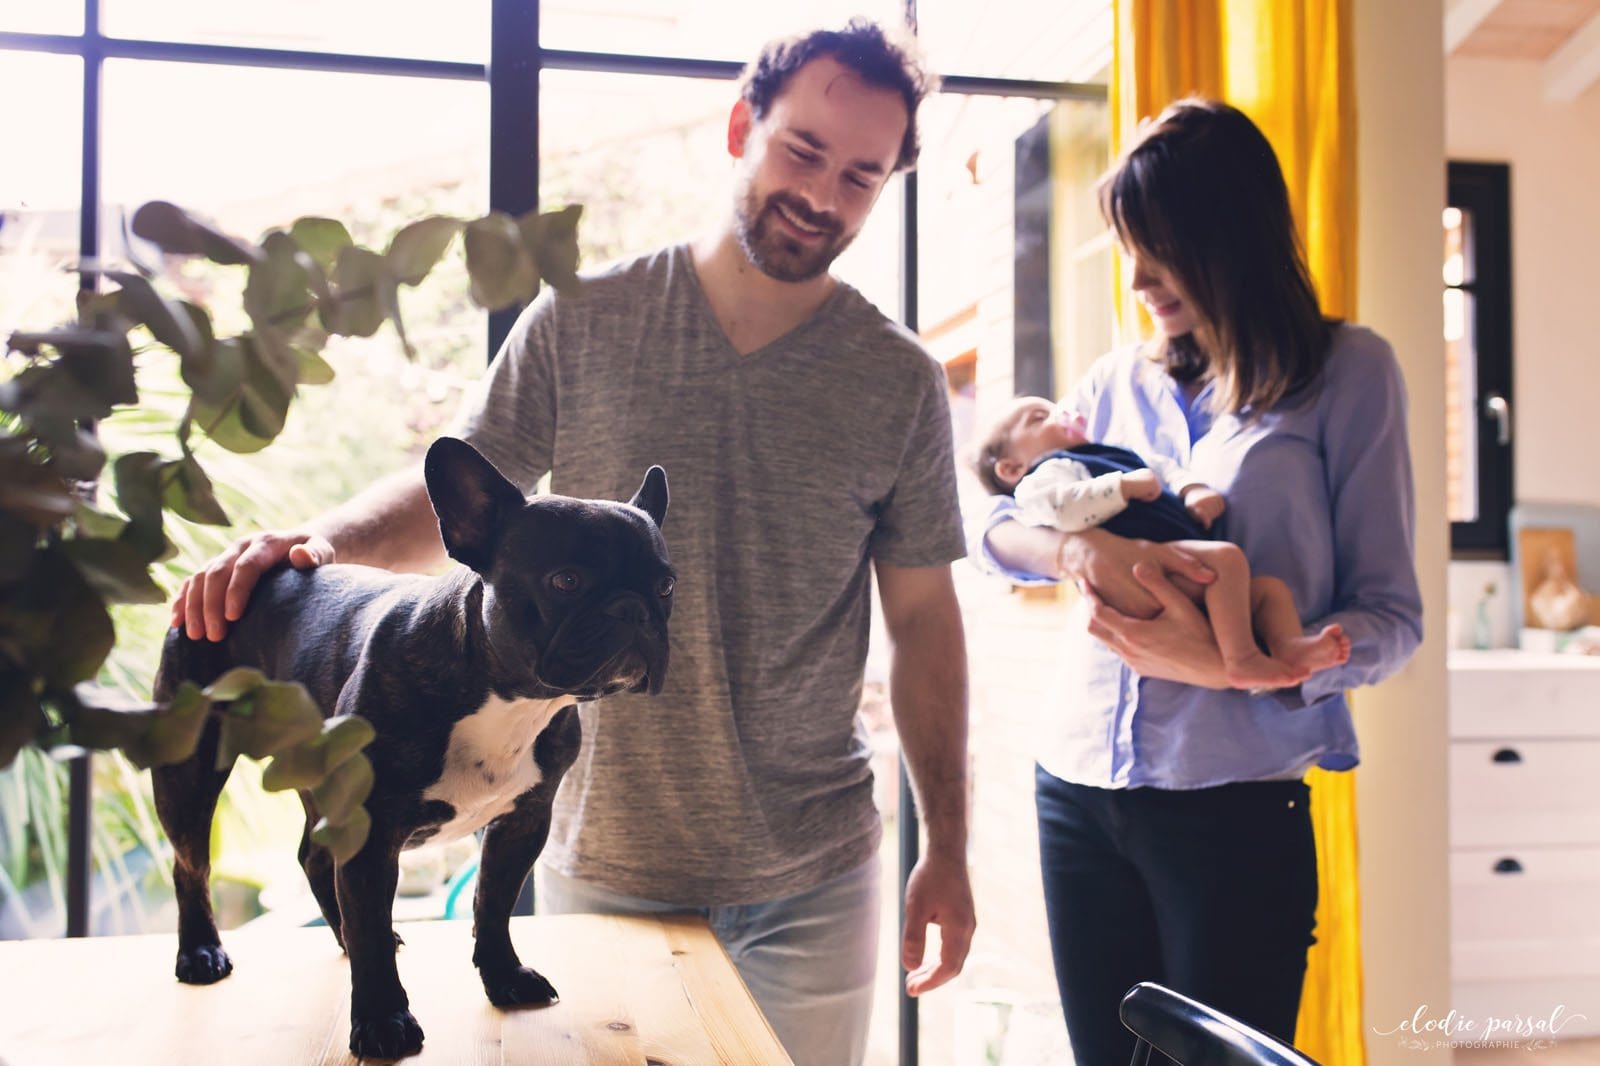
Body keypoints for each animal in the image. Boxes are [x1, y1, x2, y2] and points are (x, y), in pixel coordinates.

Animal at [152, 438, 672, 1056]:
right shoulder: (373, 834)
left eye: (666, 586)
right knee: (191, 862)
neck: (507, 697)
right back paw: (199, 952)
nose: (633, 608)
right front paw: (383, 1022)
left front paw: (504, 976)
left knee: (314, 859)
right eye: (565, 581)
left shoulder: (522, 822)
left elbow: (493, 905)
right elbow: (374, 927)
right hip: (190, 770)